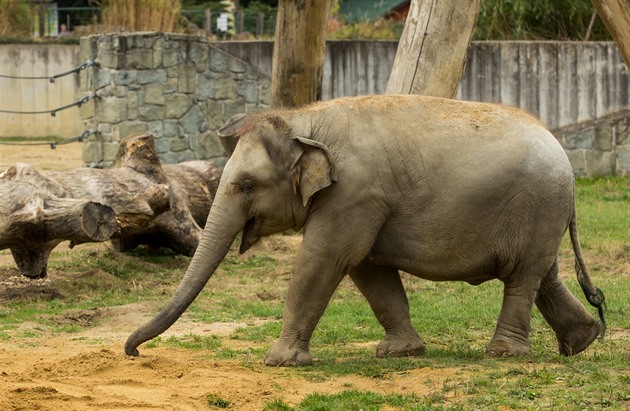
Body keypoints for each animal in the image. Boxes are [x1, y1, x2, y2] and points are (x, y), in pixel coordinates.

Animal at [124, 95, 608, 366]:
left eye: (246, 185)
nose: (133, 352)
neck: (302, 121)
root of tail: (565, 158)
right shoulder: (363, 202)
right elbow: (368, 269)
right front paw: (399, 354)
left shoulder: (354, 193)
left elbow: (325, 259)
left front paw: (279, 363)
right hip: (542, 214)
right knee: (542, 275)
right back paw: (582, 342)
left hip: (537, 205)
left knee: (522, 278)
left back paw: (505, 354)